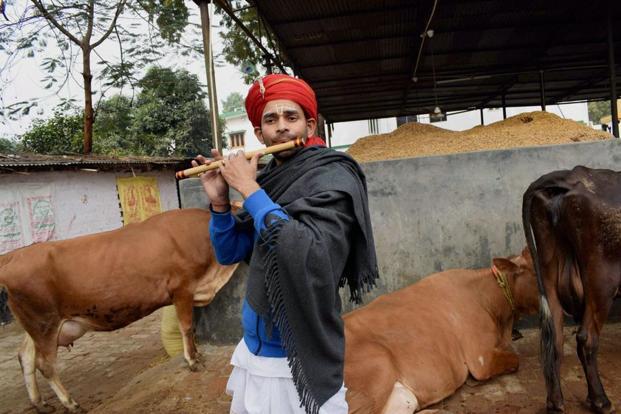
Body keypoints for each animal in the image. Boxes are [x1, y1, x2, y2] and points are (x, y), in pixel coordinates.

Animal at [0, 209, 237, 412]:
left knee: (25, 356)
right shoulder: (181, 290)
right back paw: (70, 403)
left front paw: (197, 355)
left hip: (39, 326)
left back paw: (40, 403)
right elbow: (187, 328)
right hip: (44, 322)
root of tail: (15, 255)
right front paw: (192, 360)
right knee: (45, 365)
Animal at [524, 166, 620, 414]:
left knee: (555, 337)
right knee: (587, 339)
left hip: (548, 269)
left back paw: (556, 402)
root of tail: (570, 175)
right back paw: (600, 400)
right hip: (601, 281)